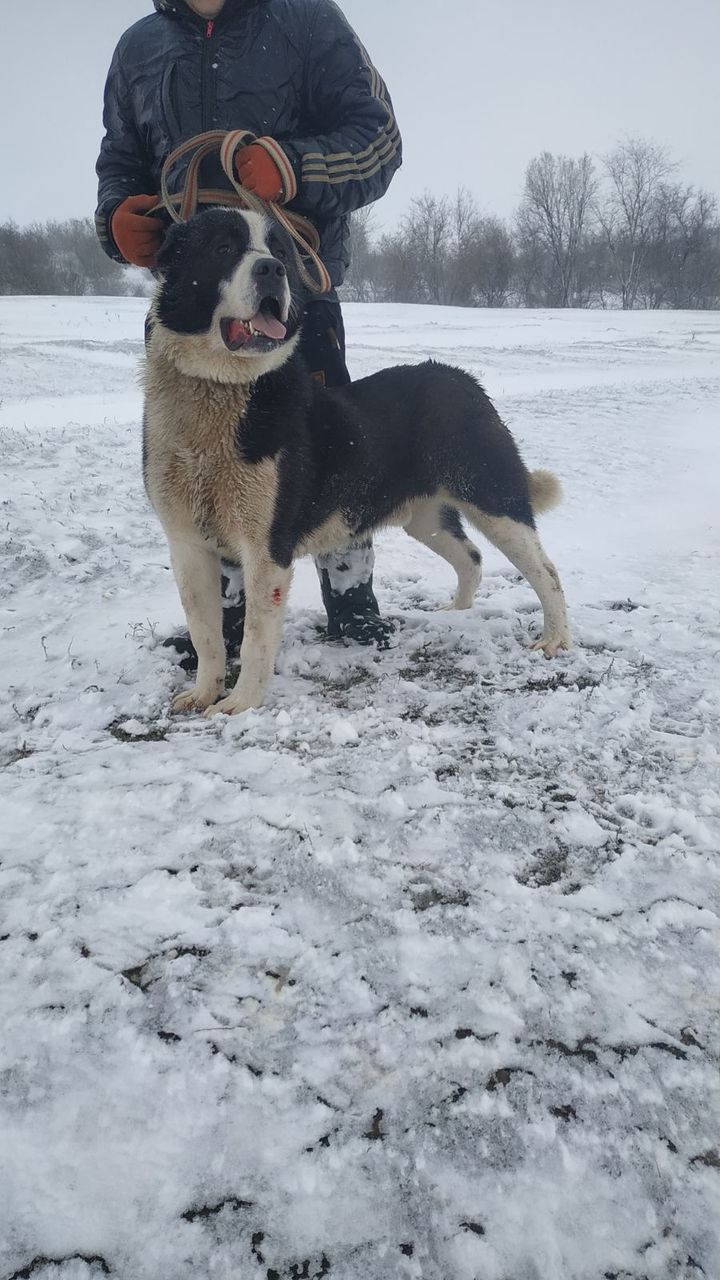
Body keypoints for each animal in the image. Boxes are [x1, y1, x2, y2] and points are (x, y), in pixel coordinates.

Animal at [141, 204, 566, 716]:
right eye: (223, 247)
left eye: (280, 251)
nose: (272, 270)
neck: (222, 391)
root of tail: (461, 379)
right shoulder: (187, 546)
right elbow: (207, 634)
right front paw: (203, 692)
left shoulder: (266, 551)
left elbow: (255, 639)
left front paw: (240, 704)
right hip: (426, 518)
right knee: (472, 557)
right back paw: (457, 615)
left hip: (493, 497)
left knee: (546, 571)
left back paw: (555, 639)